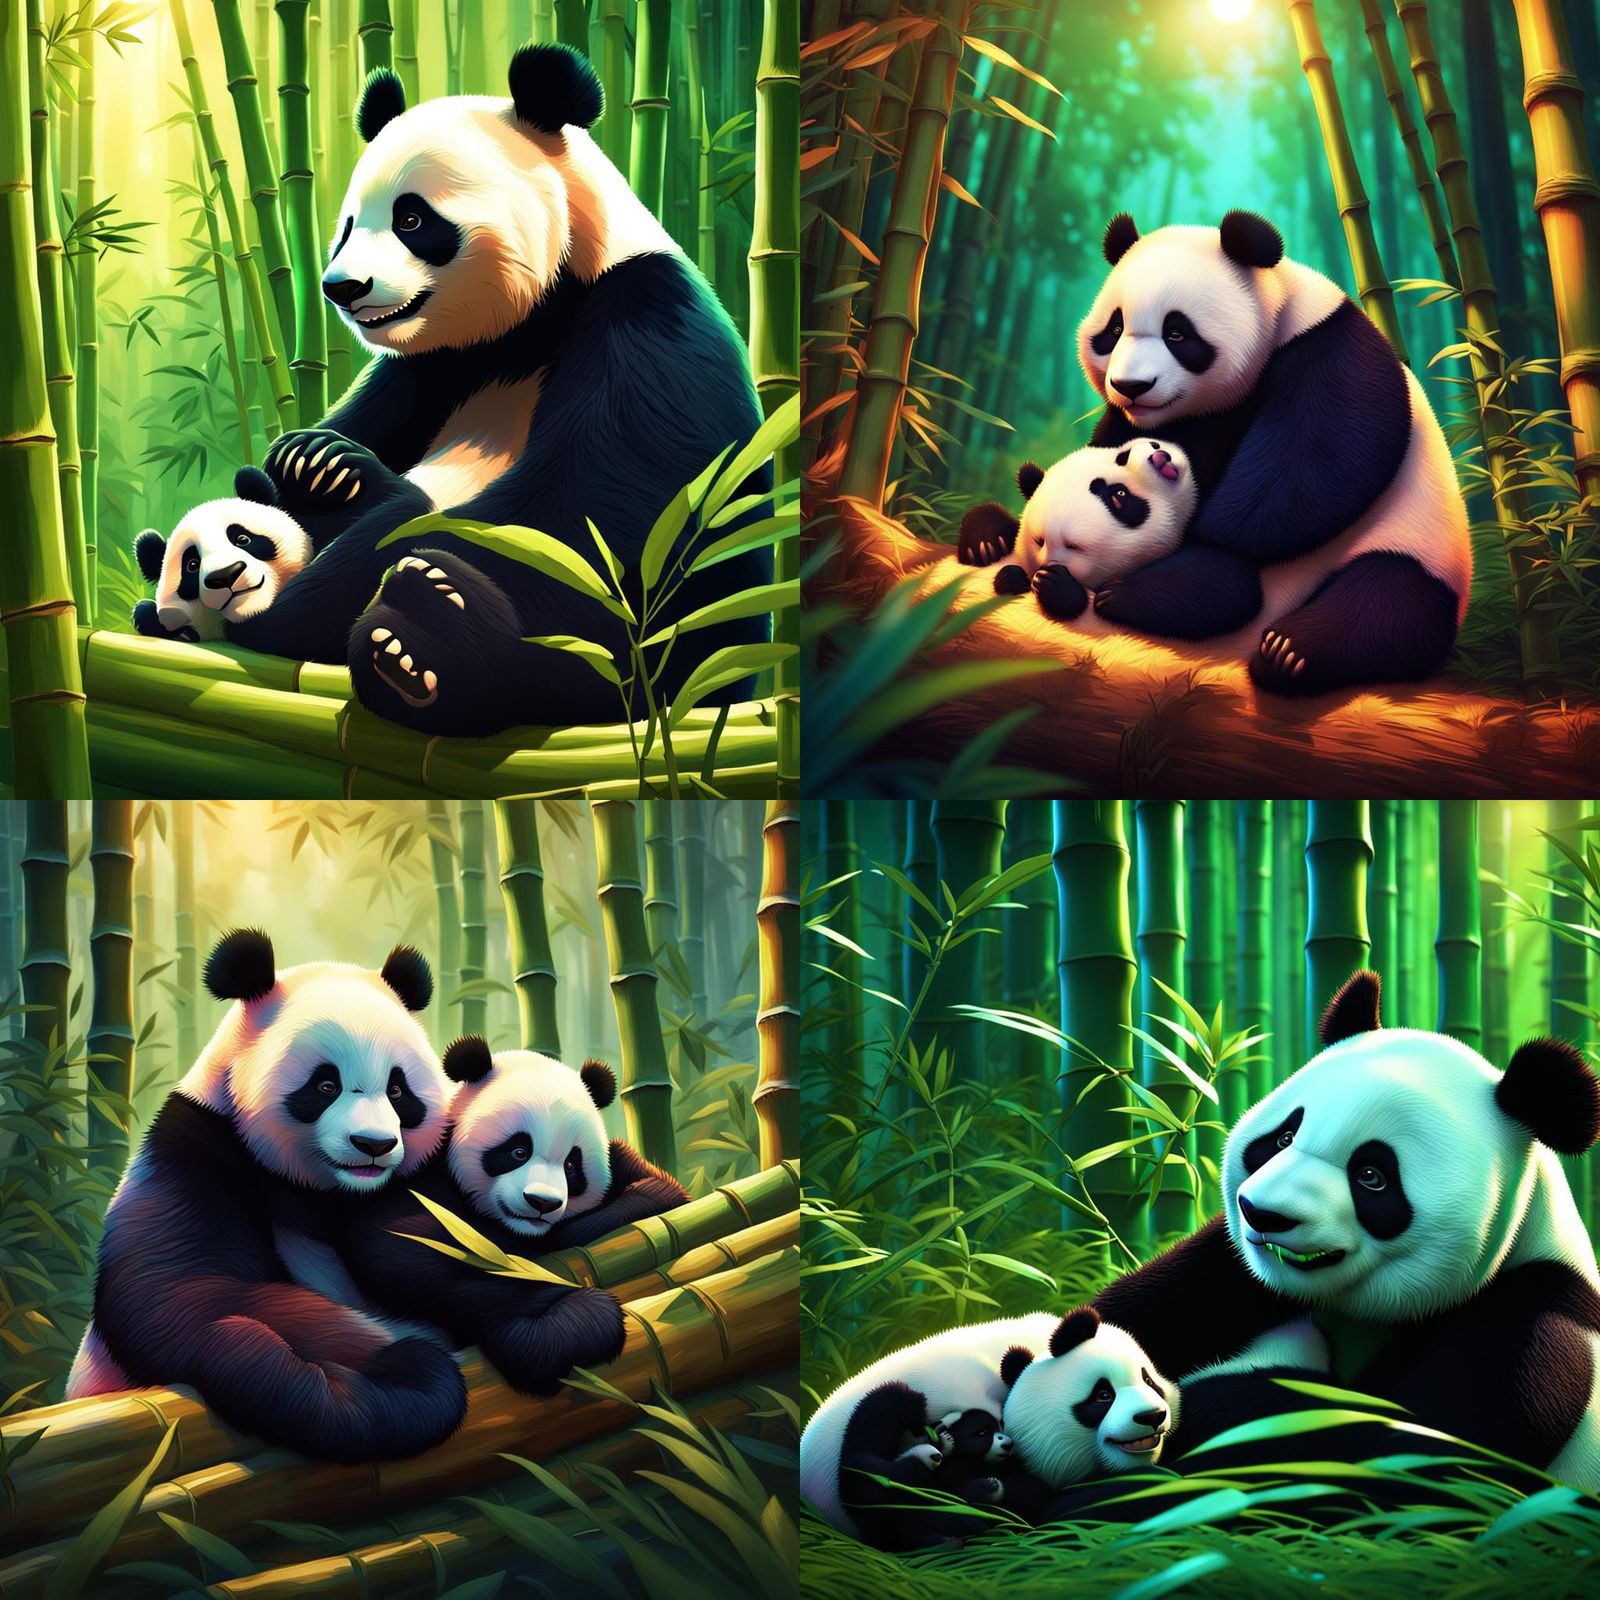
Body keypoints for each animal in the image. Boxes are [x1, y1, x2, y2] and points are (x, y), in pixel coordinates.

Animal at [66, 929, 468, 1464]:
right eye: (325, 1084)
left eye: (399, 1090)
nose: (374, 1144)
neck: (320, 1188)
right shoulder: (194, 1151)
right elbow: (176, 1291)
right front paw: (404, 1366)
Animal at [206, 44, 771, 737]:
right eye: (347, 226)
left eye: (412, 218)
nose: (342, 287)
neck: (529, 328)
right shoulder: (430, 370)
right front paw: (314, 461)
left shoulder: (645, 329)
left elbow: (580, 521)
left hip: (668, 664)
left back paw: (424, 632)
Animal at [312, 1035, 690, 1397]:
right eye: (518, 1151)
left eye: (571, 1165)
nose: (542, 1203)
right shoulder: (423, 1181)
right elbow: (400, 1252)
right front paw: (561, 1331)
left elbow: (662, 1193)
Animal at [1069, 210, 1470, 696]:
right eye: (1113, 330)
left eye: (1177, 333)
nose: (1131, 386)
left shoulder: (1327, 349)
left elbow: (1314, 466)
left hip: (1416, 544)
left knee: (1388, 603)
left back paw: (1283, 650)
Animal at [1095, 970, 1600, 1490]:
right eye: (1283, 1138)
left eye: (1372, 1176)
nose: (1263, 1213)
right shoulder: (1228, 1273)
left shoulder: (1528, 1322)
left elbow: (1397, 1451)